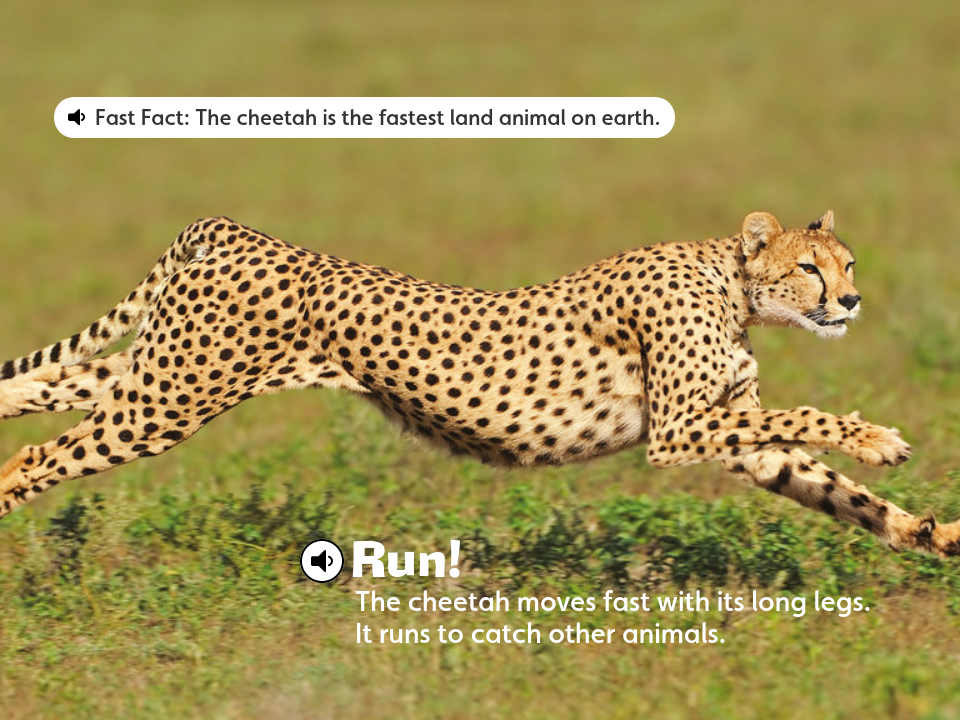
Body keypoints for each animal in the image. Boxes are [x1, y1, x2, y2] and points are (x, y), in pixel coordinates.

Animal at [2, 210, 958, 556]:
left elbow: (826, 483)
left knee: (54, 383)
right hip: (170, 398)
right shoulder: (676, 433)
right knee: (42, 454)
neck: (732, 283)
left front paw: (930, 534)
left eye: (849, 262)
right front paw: (879, 437)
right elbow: (812, 419)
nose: (854, 299)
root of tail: (237, 229)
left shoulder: (731, 438)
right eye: (810, 267)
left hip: (160, 373)